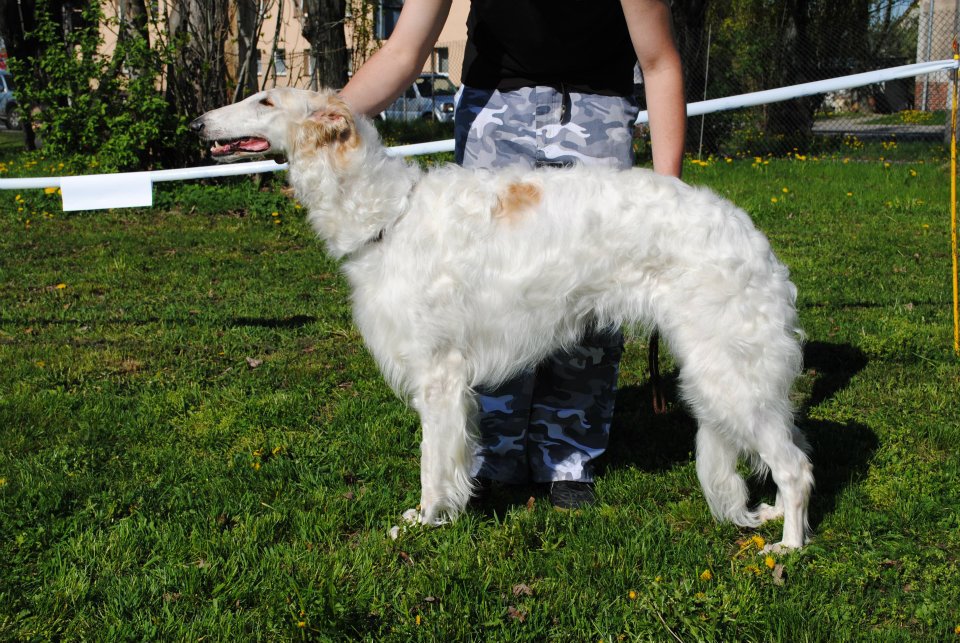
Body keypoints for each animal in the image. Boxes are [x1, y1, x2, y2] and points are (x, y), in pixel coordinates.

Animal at [190, 87, 814, 551]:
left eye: (266, 100)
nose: (198, 123)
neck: (389, 214)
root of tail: (750, 234)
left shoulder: (438, 376)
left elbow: (431, 465)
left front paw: (425, 521)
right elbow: (457, 457)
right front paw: (448, 510)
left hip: (729, 373)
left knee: (796, 468)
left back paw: (788, 546)